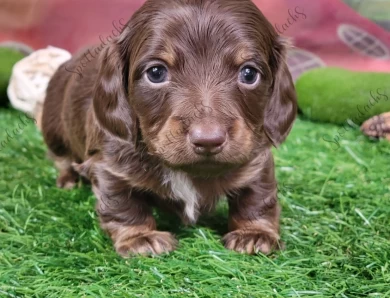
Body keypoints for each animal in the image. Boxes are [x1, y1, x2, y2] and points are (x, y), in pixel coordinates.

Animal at [41, 0, 298, 256]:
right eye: (156, 73)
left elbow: (257, 196)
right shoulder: (110, 165)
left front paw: (254, 233)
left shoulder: (255, 158)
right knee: (61, 157)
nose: (208, 140)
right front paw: (140, 238)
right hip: (54, 129)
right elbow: (123, 203)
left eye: (249, 73)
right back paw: (68, 180)